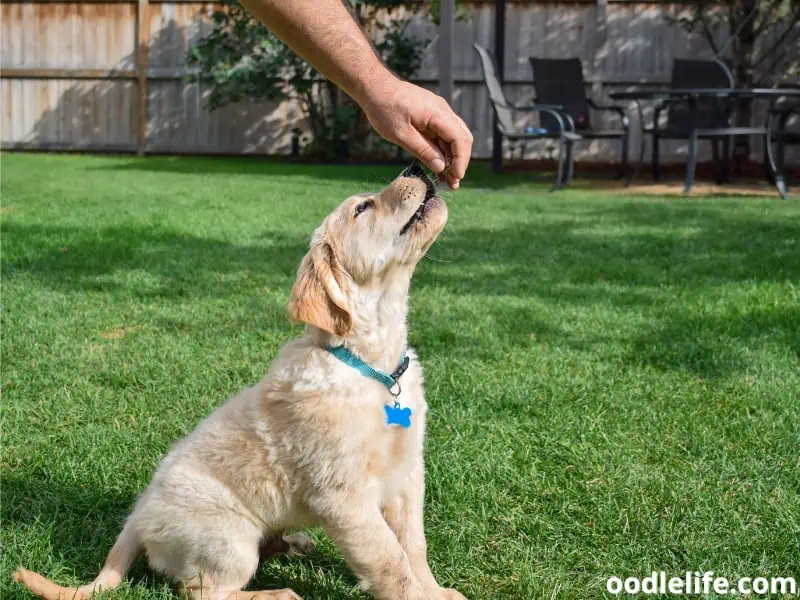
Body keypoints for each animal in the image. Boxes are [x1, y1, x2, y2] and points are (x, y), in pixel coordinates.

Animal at [12, 166, 466, 600]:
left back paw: (292, 544)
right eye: (363, 208)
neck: (371, 365)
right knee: (202, 591)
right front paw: (418, 595)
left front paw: (435, 590)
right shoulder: (343, 495)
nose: (417, 168)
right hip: (230, 539)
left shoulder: (407, 474)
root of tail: (135, 520)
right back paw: (277, 593)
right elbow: (390, 561)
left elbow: (413, 546)